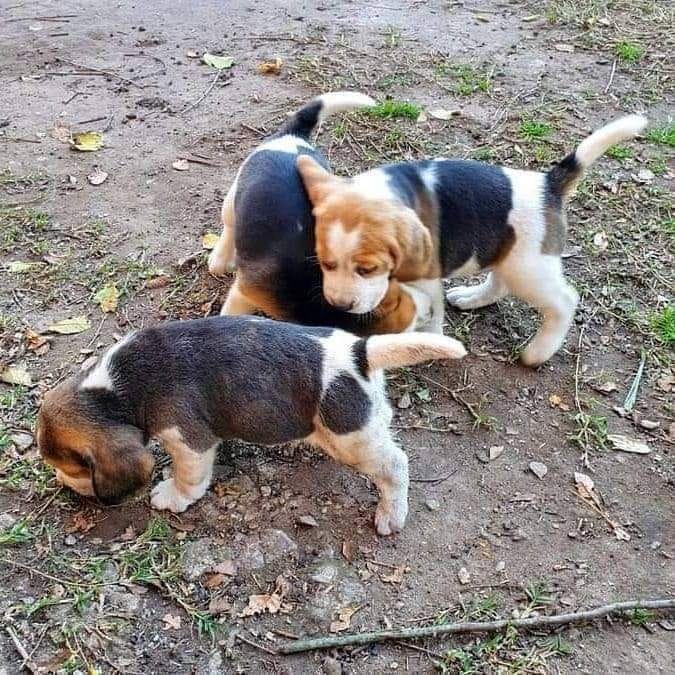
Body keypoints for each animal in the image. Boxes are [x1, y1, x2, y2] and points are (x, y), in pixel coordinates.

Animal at [302, 117, 648, 370]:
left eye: (367, 269)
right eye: (326, 264)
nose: (340, 305)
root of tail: (548, 186)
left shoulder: (427, 279)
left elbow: (432, 316)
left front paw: (427, 345)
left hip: (529, 268)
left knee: (564, 301)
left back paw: (537, 352)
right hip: (509, 257)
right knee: (499, 284)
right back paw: (471, 298)